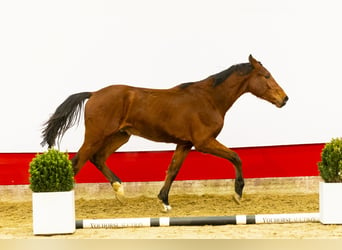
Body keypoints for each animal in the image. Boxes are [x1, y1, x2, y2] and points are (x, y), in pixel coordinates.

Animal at [42, 54, 288, 211]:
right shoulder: (204, 142)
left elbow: (173, 170)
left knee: (97, 158)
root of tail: (93, 94)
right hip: (96, 136)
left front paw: (164, 201)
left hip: (120, 136)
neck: (209, 99)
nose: (284, 99)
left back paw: (120, 192)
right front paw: (237, 194)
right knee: (78, 162)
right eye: (266, 75)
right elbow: (236, 157)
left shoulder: (185, 143)